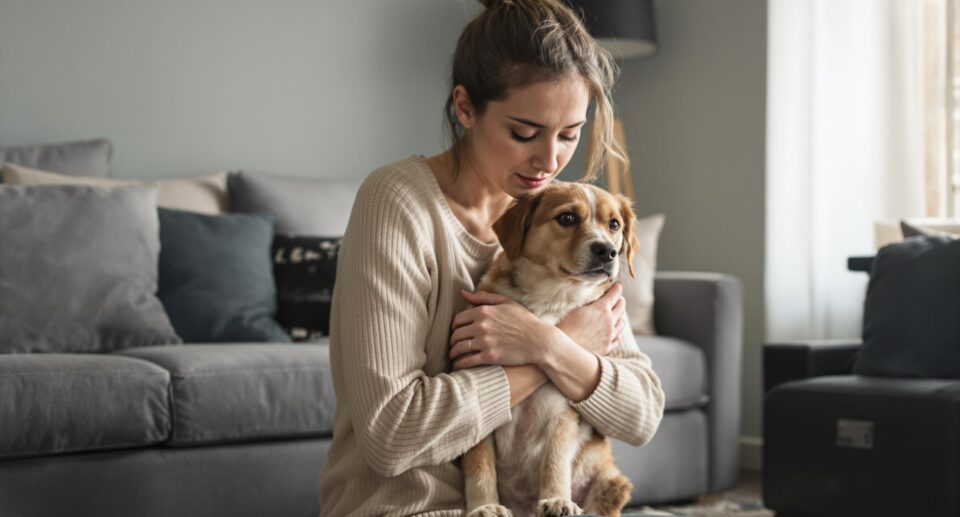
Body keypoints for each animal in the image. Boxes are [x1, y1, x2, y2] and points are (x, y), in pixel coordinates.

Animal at [464, 180, 640, 516]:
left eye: (614, 225)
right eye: (567, 218)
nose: (608, 251)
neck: (551, 296)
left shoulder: (562, 412)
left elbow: (555, 461)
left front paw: (557, 498)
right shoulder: (482, 406)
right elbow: (479, 465)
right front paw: (485, 506)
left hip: (611, 483)